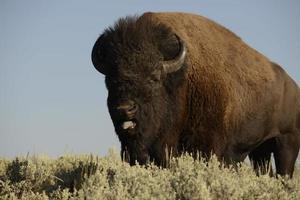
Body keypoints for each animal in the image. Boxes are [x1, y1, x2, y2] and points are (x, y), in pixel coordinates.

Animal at [92, 12, 300, 177]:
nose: (124, 109)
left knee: (284, 172)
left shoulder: (207, 146)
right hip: (260, 150)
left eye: (154, 77)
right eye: (110, 79)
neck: (182, 79)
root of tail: (294, 86)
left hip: (287, 142)